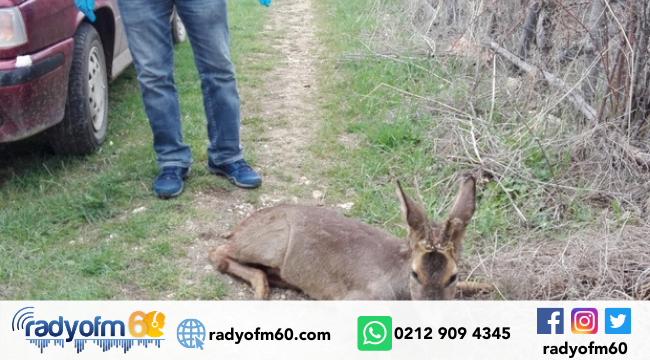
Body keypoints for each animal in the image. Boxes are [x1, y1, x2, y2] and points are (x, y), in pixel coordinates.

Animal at [210, 176, 478, 300]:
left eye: (453, 276)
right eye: (415, 274)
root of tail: (239, 227)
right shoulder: (356, 298)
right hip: (268, 244)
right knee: (217, 253)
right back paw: (261, 289)